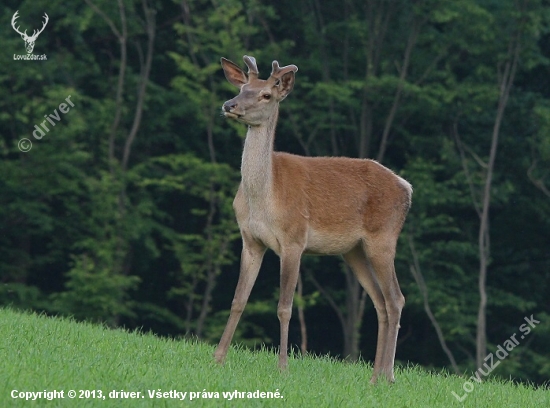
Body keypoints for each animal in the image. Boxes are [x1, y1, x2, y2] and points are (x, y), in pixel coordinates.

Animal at [216, 54, 414, 382]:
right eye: (242, 87)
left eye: (266, 95)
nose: (230, 105)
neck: (265, 197)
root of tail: (407, 187)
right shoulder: (250, 240)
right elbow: (237, 299)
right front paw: (218, 357)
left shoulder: (294, 239)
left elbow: (285, 306)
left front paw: (283, 367)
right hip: (354, 251)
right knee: (381, 301)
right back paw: (374, 375)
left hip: (383, 237)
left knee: (396, 298)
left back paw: (387, 376)